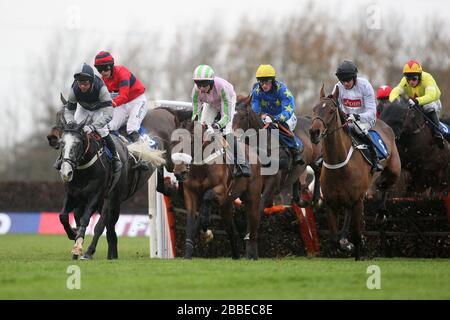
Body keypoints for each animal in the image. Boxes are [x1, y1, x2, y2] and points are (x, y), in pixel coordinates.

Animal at [172, 121, 264, 258]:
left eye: (192, 140)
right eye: (173, 141)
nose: (179, 172)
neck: (201, 168)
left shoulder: (221, 190)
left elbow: (207, 196)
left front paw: (206, 228)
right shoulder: (190, 194)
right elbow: (190, 221)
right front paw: (188, 253)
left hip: (252, 198)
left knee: (253, 224)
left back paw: (252, 255)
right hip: (226, 205)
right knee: (230, 228)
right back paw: (236, 255)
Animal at [310, 85, 400, 260]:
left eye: (331, 111)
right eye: (314, 109)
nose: (314, 133)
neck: (339, 165)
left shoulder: (358, 200)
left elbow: (357, 235)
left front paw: (356, 248)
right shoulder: (331, 203)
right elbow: (334, 239)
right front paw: (345, 244)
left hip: (394, 171)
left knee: (386, 186)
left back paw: (381, 214)